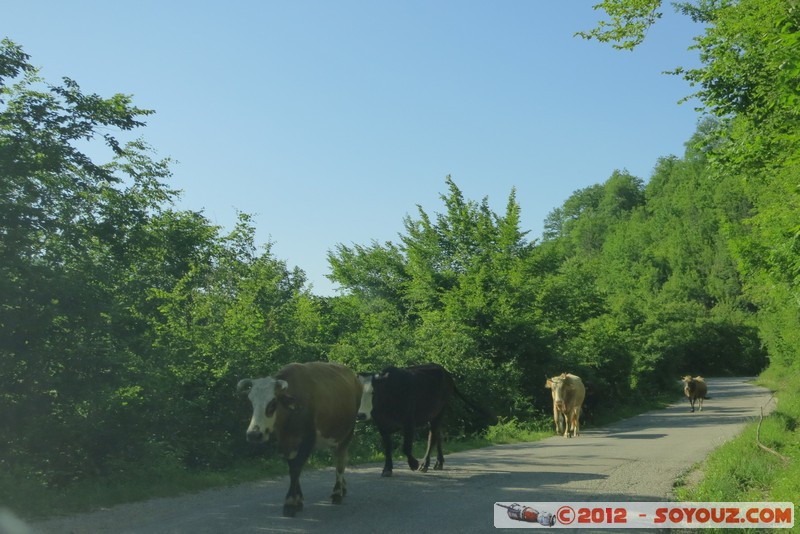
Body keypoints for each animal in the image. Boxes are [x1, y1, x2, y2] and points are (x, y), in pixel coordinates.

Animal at [237, 362, 362, 517]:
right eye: (251, 402)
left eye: (273, 403)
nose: (254, 434)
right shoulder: (286, 443)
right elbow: (292, 468)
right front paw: (298, 499)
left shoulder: (307, 441)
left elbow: (296, 469)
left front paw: (290, 502)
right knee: (340, 458)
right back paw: (343, 488)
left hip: (347, 433)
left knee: (340, 462)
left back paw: (337, 493)